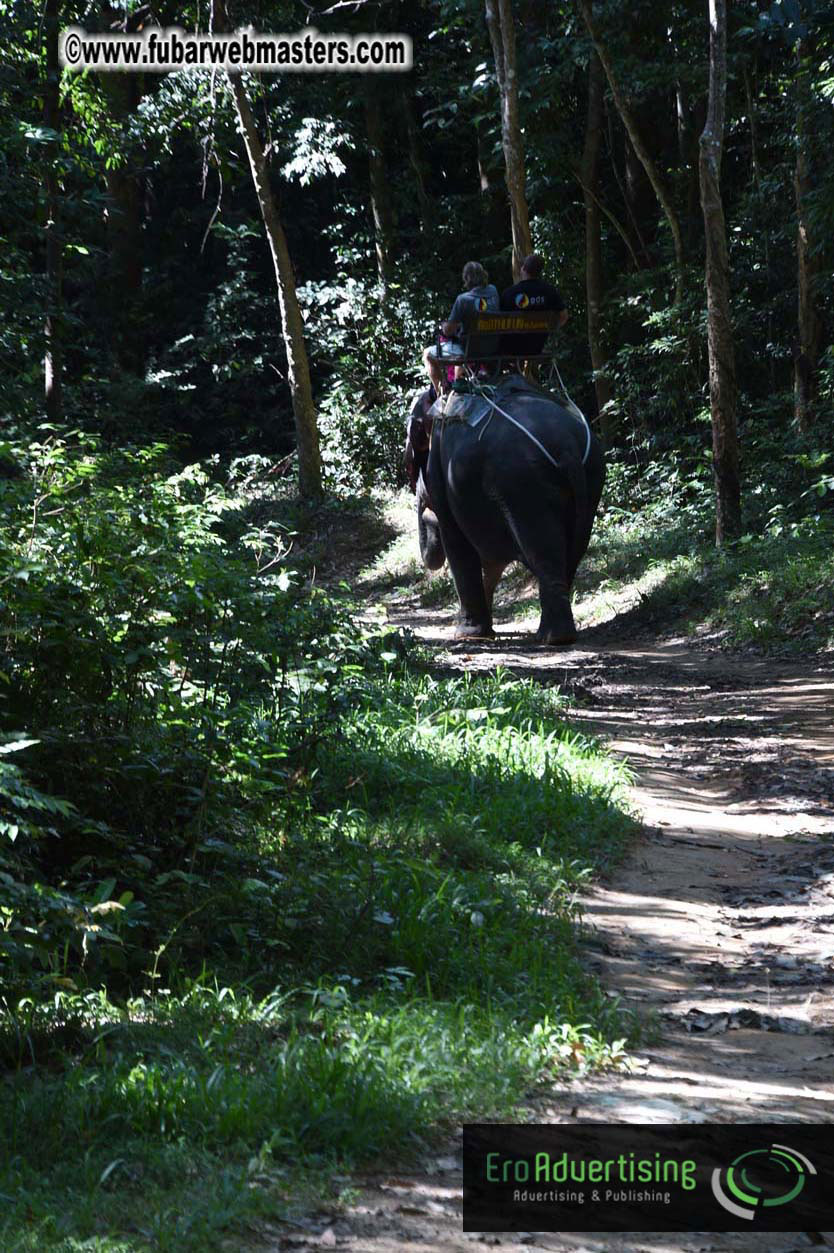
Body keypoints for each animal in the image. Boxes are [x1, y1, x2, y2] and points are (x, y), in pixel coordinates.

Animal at [406, 375, 604, 644]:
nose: (426, 512)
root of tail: (568, 448)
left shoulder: (444, 473)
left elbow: (458, 542)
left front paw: (468, 635)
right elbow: (491, 559)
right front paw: (484, 632)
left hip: (522, 483)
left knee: (541, 548)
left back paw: (553, 637)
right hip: (592, 475)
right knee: (572, 549)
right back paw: (553, 633)